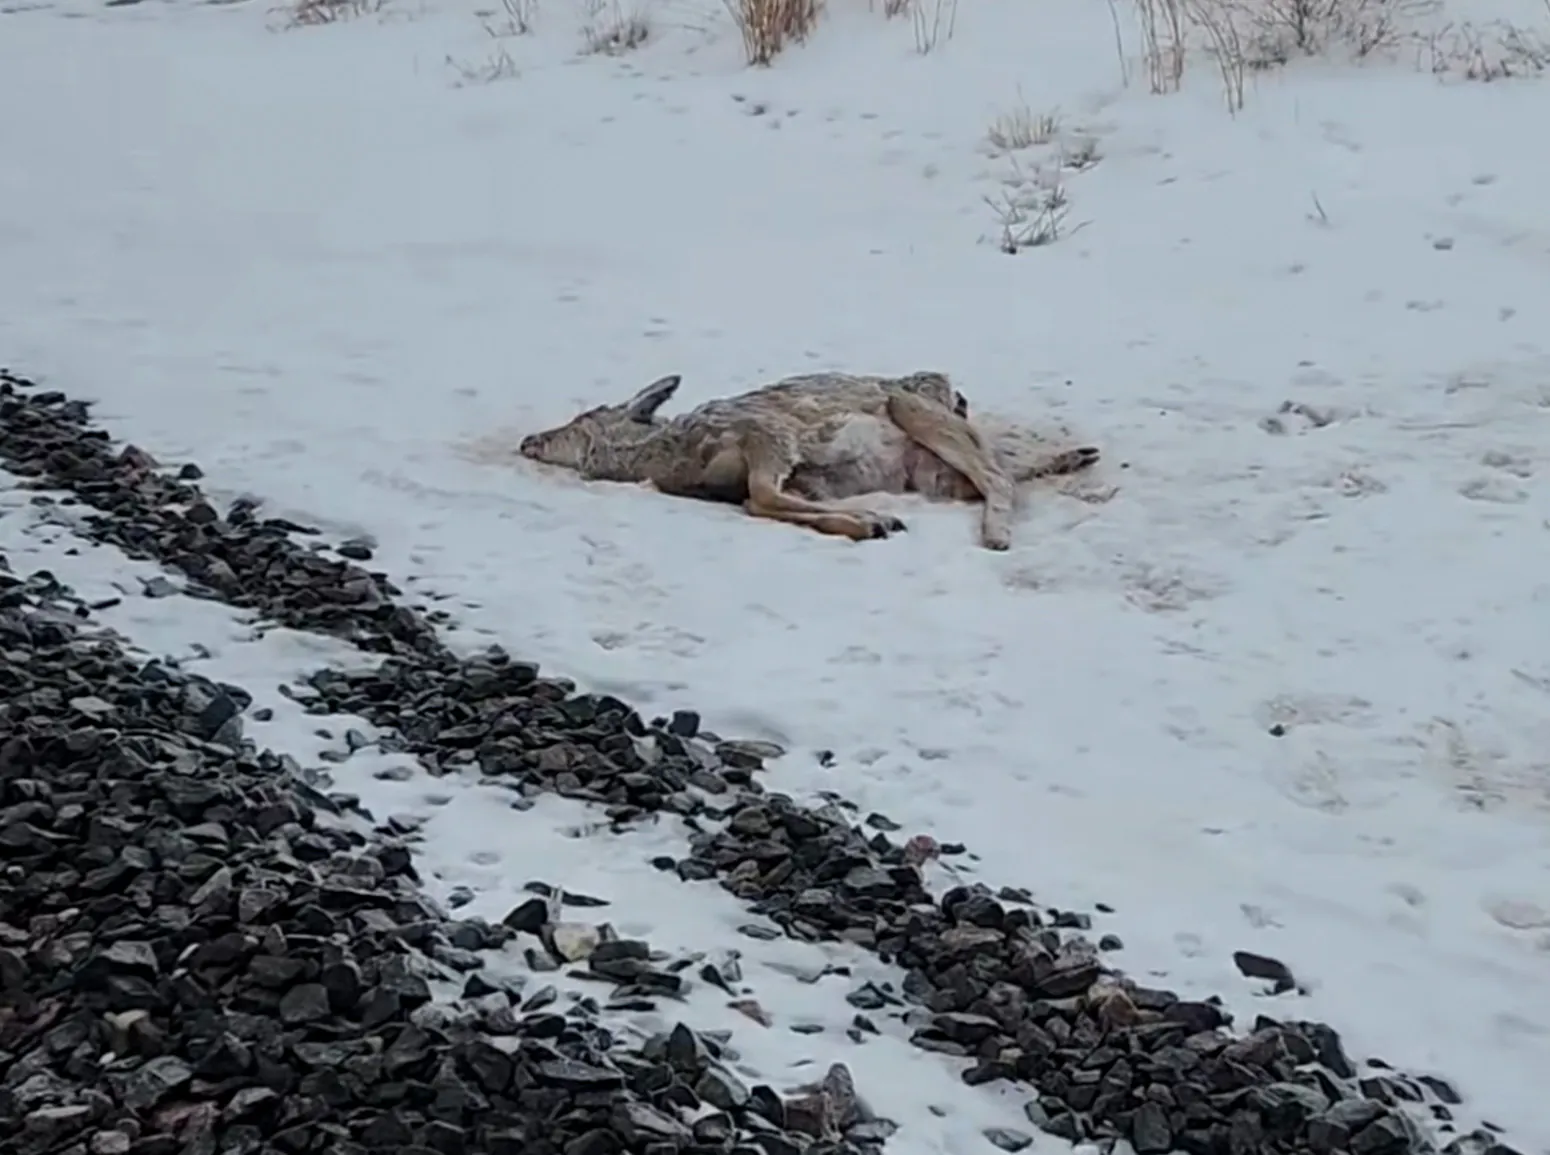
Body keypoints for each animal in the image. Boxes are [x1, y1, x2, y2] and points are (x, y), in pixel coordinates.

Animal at [518, 370, 1100, 550]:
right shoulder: (777, 461)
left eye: (580, 419)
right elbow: (766, 499)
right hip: (928, 452)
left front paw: (869, 521)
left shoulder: (767, 437)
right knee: (996, 476)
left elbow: (765, 496)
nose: (528, 440)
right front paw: (870, 520)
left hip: (915, 418)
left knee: (998, 477)